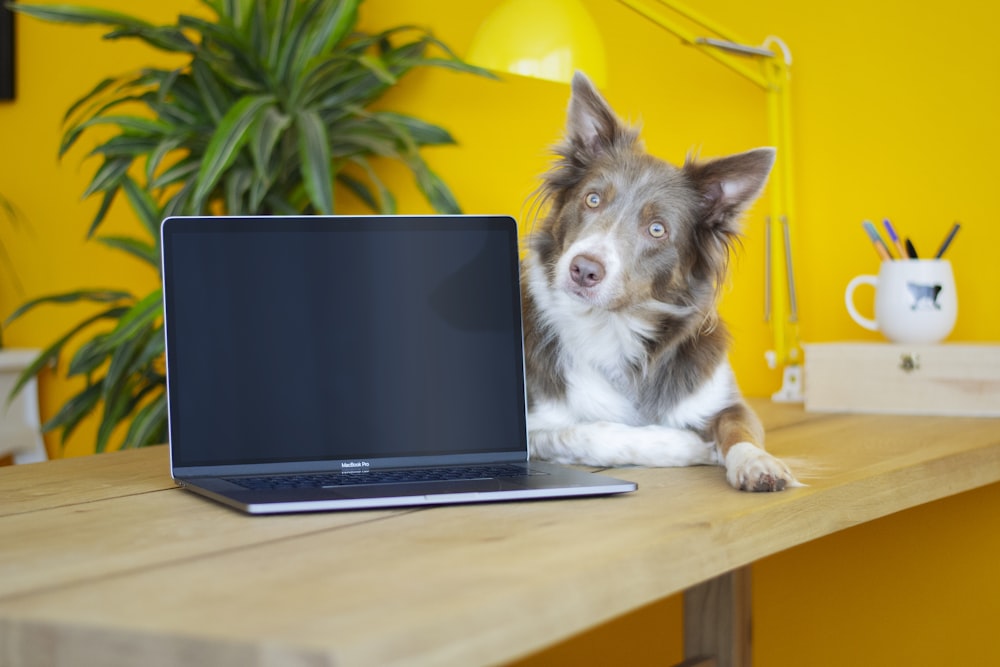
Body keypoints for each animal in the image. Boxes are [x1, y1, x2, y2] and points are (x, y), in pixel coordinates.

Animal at [524, 74, 796, 490]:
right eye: (592, 200)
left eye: (657, 229)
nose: (583, 269)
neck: (616, 330)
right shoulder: (531, 428)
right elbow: (588, 432)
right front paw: (689, 446)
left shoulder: (727, 401)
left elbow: (739, 429)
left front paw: (757, 462)